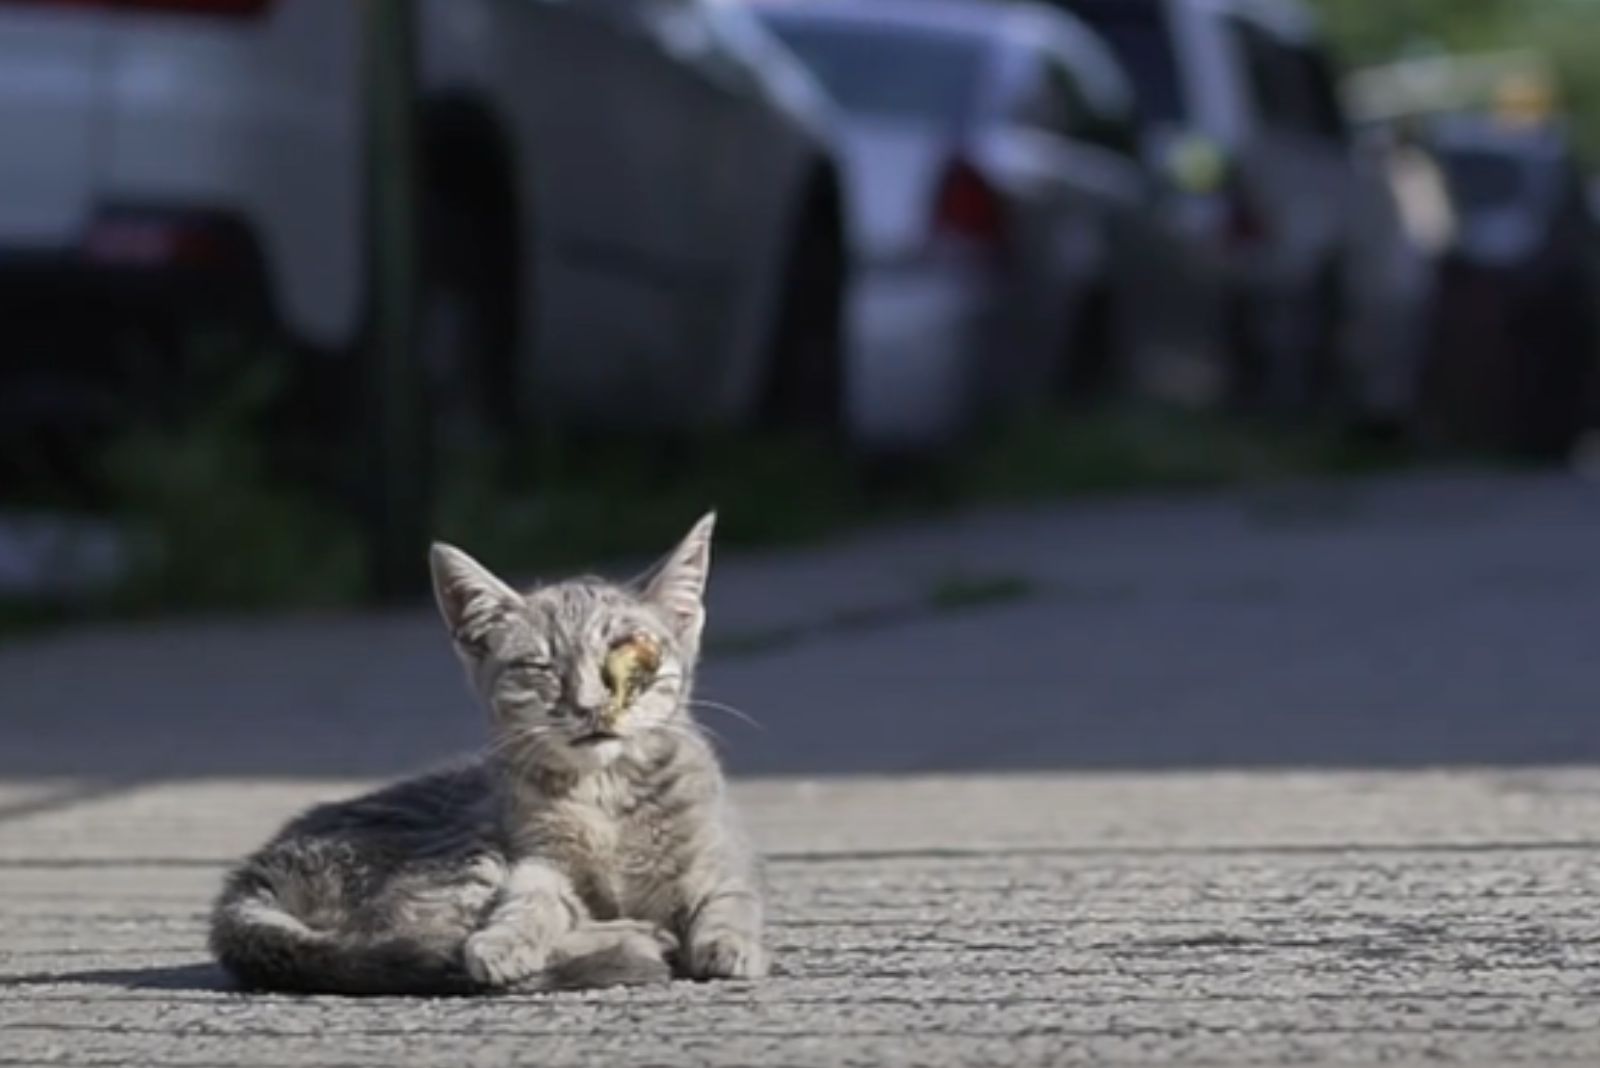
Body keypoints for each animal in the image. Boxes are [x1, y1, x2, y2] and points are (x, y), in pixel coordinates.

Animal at [208, 511, 768, 997]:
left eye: (625, 654)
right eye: (541, 668)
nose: (591, 706)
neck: (602, 793)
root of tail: (253, 875)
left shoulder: (720, 857)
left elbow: (732, 900)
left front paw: (731, 941)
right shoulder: (533, 860)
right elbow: (531, 902)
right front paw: (506, 939)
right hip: (462, 854)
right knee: (417, 938)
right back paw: (634, 937)